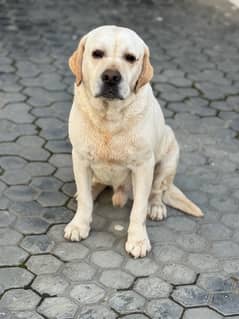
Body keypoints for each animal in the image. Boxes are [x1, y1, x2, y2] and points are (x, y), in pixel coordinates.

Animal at [64, 26, 203, 258]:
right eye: (97, 53)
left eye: (130, 58)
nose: (111, 77)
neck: (109, 118)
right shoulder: (80, 158)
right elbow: (84, 200)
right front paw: (79, 224)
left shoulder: (143, 166)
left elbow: (138, 209)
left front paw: (137, 239)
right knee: (94, 186)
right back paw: (92, 189)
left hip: (170, 153)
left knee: (157, 190)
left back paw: (156, 207)